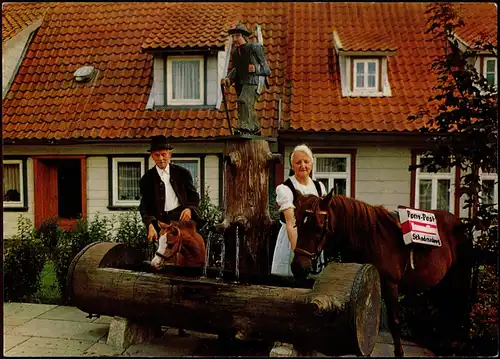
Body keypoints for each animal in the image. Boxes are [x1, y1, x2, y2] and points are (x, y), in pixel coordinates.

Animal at [290, 193, 472, 356]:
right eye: (297, 223)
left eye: (318, 226)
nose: (298, 266)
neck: (368, 238)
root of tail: (459, 224)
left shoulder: (390, 285)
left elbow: (394, 322)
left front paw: (399, 353)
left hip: (458, 278)